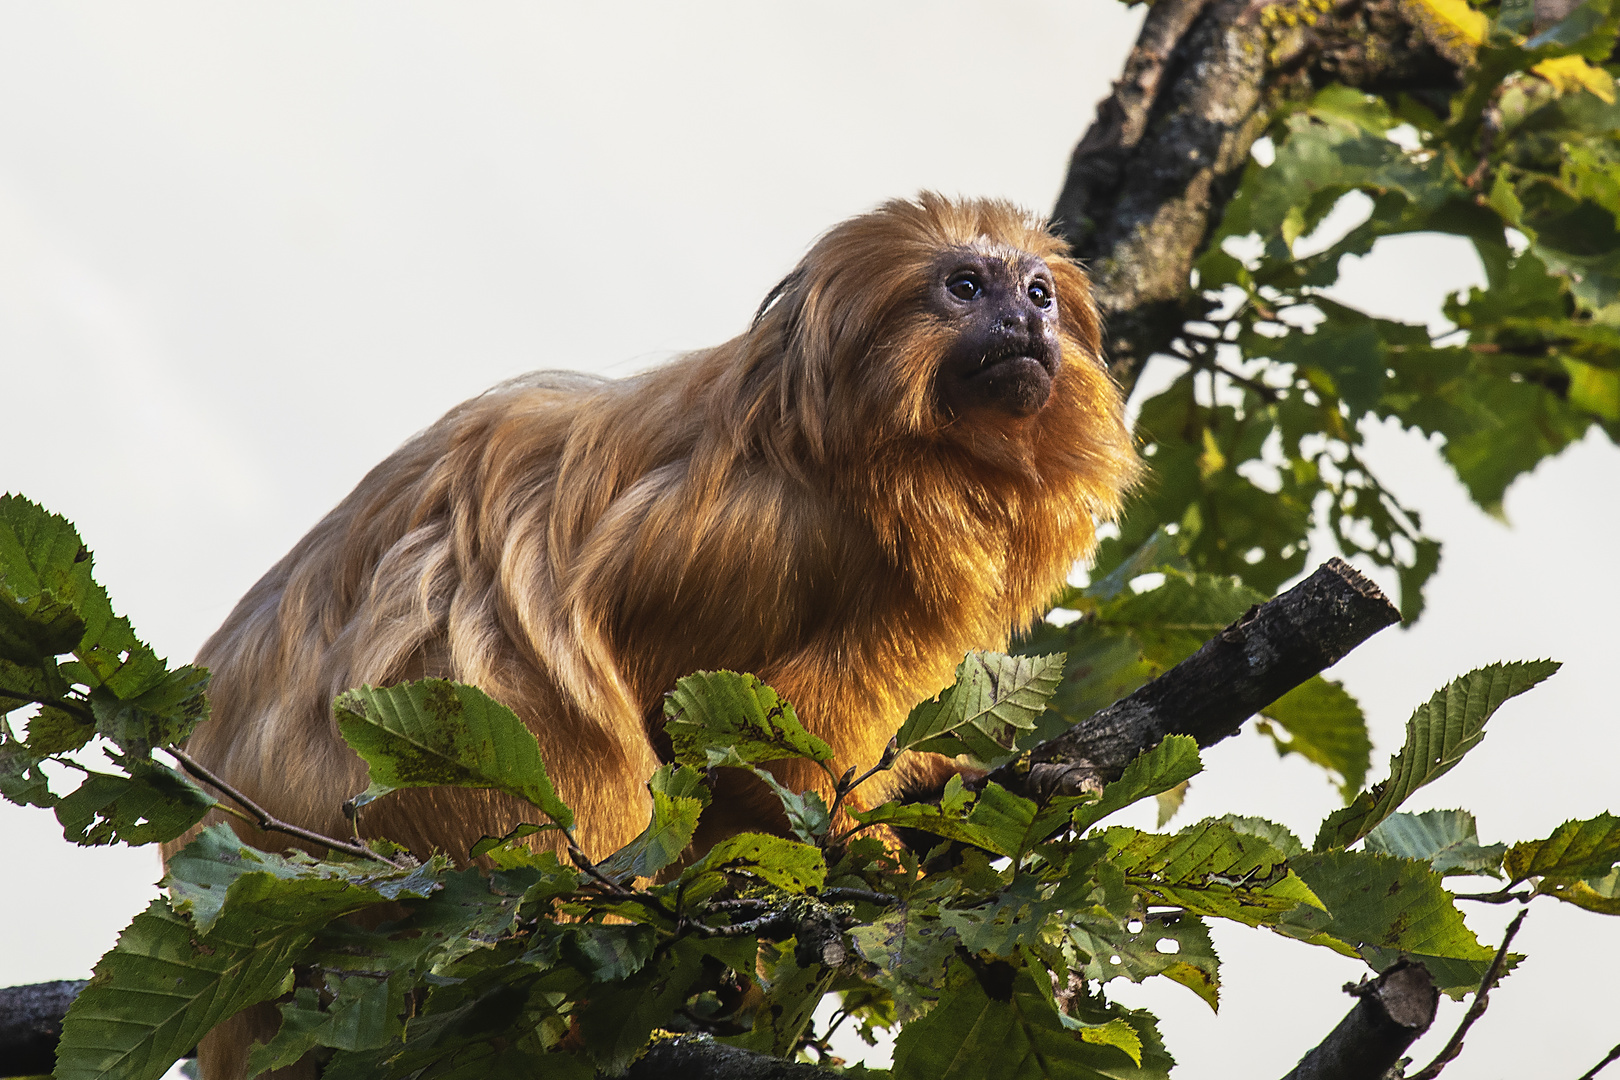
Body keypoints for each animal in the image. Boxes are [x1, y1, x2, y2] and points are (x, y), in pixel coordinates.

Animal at [167, 196, 1140, 1080]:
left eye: (1041, 292)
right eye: (966, 286)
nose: (1023, 319)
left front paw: (949, 783)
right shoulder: (767, 535)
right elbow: (698, 719)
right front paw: (863, 848)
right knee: (539, 715)